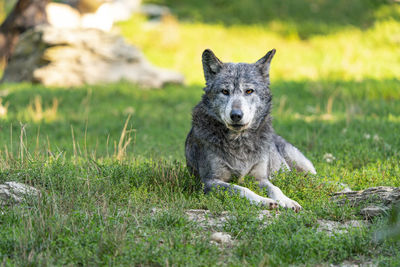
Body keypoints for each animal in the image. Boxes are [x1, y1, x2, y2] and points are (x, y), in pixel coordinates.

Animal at [184, 48, 316, 211]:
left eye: (249, 91)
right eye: (225, 91)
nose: (236, 115)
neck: (239, 141)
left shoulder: (260, 178)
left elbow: (275, 188)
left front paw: (287, 201)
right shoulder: (210, 182)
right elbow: (242, 189)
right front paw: (264, 201)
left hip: (304, 167)